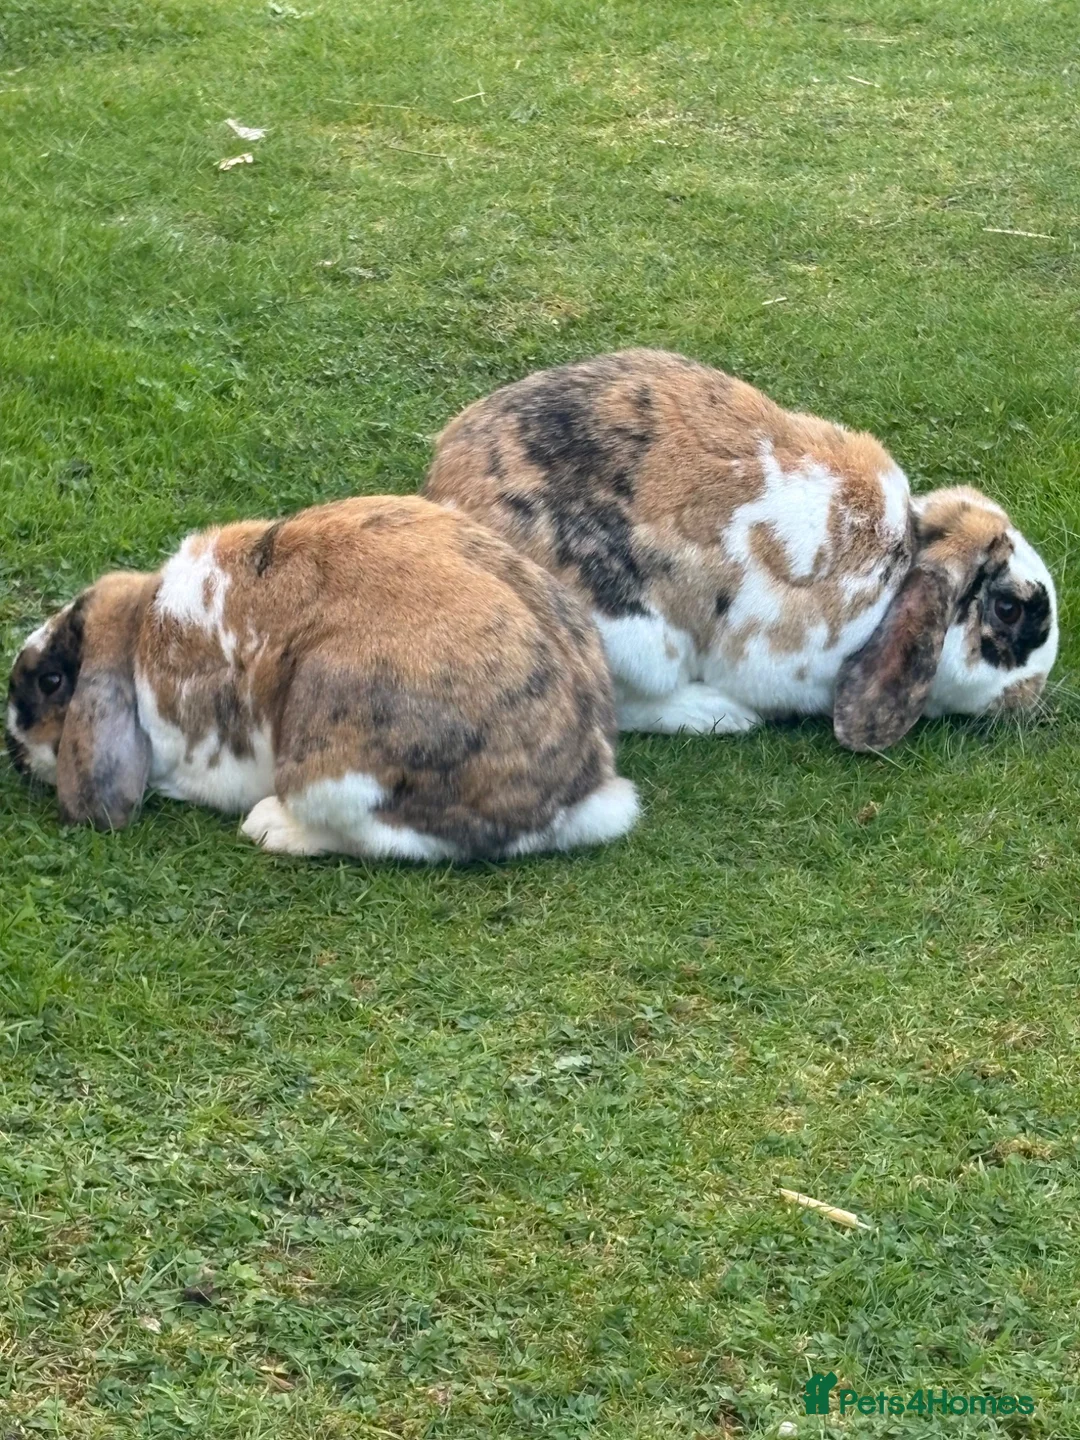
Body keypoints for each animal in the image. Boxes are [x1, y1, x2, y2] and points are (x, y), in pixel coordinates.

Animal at [5, 495, 639, 860]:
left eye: (52, 682)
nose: (13, 745)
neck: (139, 635)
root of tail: (577, 792)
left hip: (329, 756)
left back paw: (270, 828)